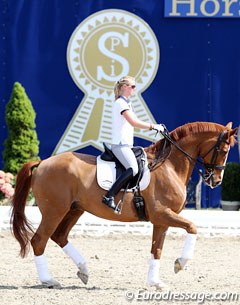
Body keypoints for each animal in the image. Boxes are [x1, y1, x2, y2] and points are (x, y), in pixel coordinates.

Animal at [10, 120, 236, 288]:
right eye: (225, 150)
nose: (216, 181)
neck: (170, 166)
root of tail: (42, 163)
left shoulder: (161, 220)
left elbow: (157, 249)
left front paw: (155, 282)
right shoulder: (162, 214)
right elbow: (192, 227)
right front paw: (180, 264)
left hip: (74, 210)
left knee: (59, 236)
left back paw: (84, 270)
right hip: (54, 211)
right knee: (39, 240)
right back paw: (48, 280)